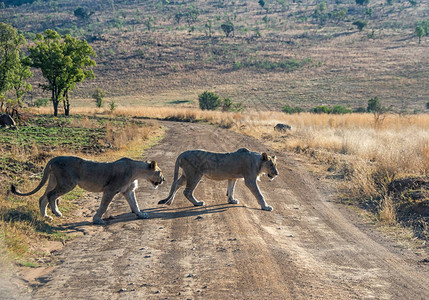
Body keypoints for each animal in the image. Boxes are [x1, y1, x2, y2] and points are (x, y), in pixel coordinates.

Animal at [10, 156, 164, 224]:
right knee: (51, 195)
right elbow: (103, 206)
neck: (136, 172)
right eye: (160, 172)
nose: (163, 180)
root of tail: (53, 159)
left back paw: (46, 216)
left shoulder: (128, 191)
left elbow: (135, 204)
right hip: (68, 183)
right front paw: (97, 219)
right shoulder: (110, 189)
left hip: (53, 181)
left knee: (43, 197)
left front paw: (141, 214)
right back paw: (57, 212)